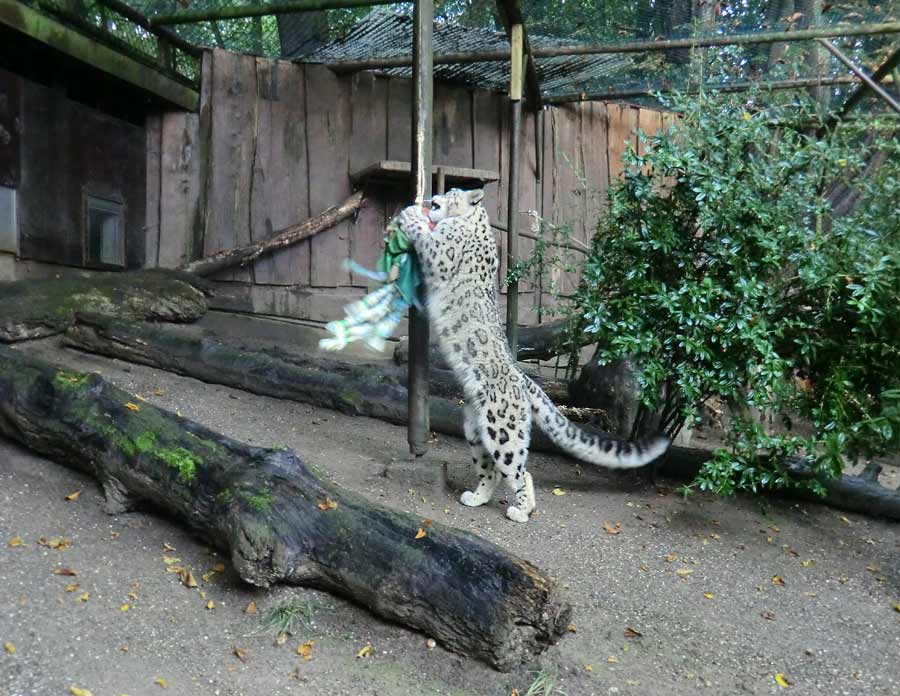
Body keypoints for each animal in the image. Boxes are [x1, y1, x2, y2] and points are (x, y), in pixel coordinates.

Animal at [398, 188, 672, 520]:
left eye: (451, 193)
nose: (434, 197)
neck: (474, 223)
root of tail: (523, 379)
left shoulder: (443, 250)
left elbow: (429, 238)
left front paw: (409, 215)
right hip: (476, 429)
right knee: (491, 469)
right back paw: (476, 497)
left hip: (503, 429)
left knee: (518, 470)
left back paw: (521, 511)